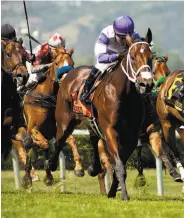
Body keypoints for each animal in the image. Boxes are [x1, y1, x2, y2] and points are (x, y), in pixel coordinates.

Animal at [46, 28, 154, 199]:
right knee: (59, 141)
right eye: (132, 56)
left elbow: (119, 164)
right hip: (65, 120)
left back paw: (93, 168)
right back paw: (51, 165)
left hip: (91, 121)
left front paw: (112, 191)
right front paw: (124, 196)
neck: (124, 94)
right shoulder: (110, 130)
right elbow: (119, 165)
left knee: (93, 138)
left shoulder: (131, 136)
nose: (146, 84)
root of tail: (69, 74)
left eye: (151, 57)